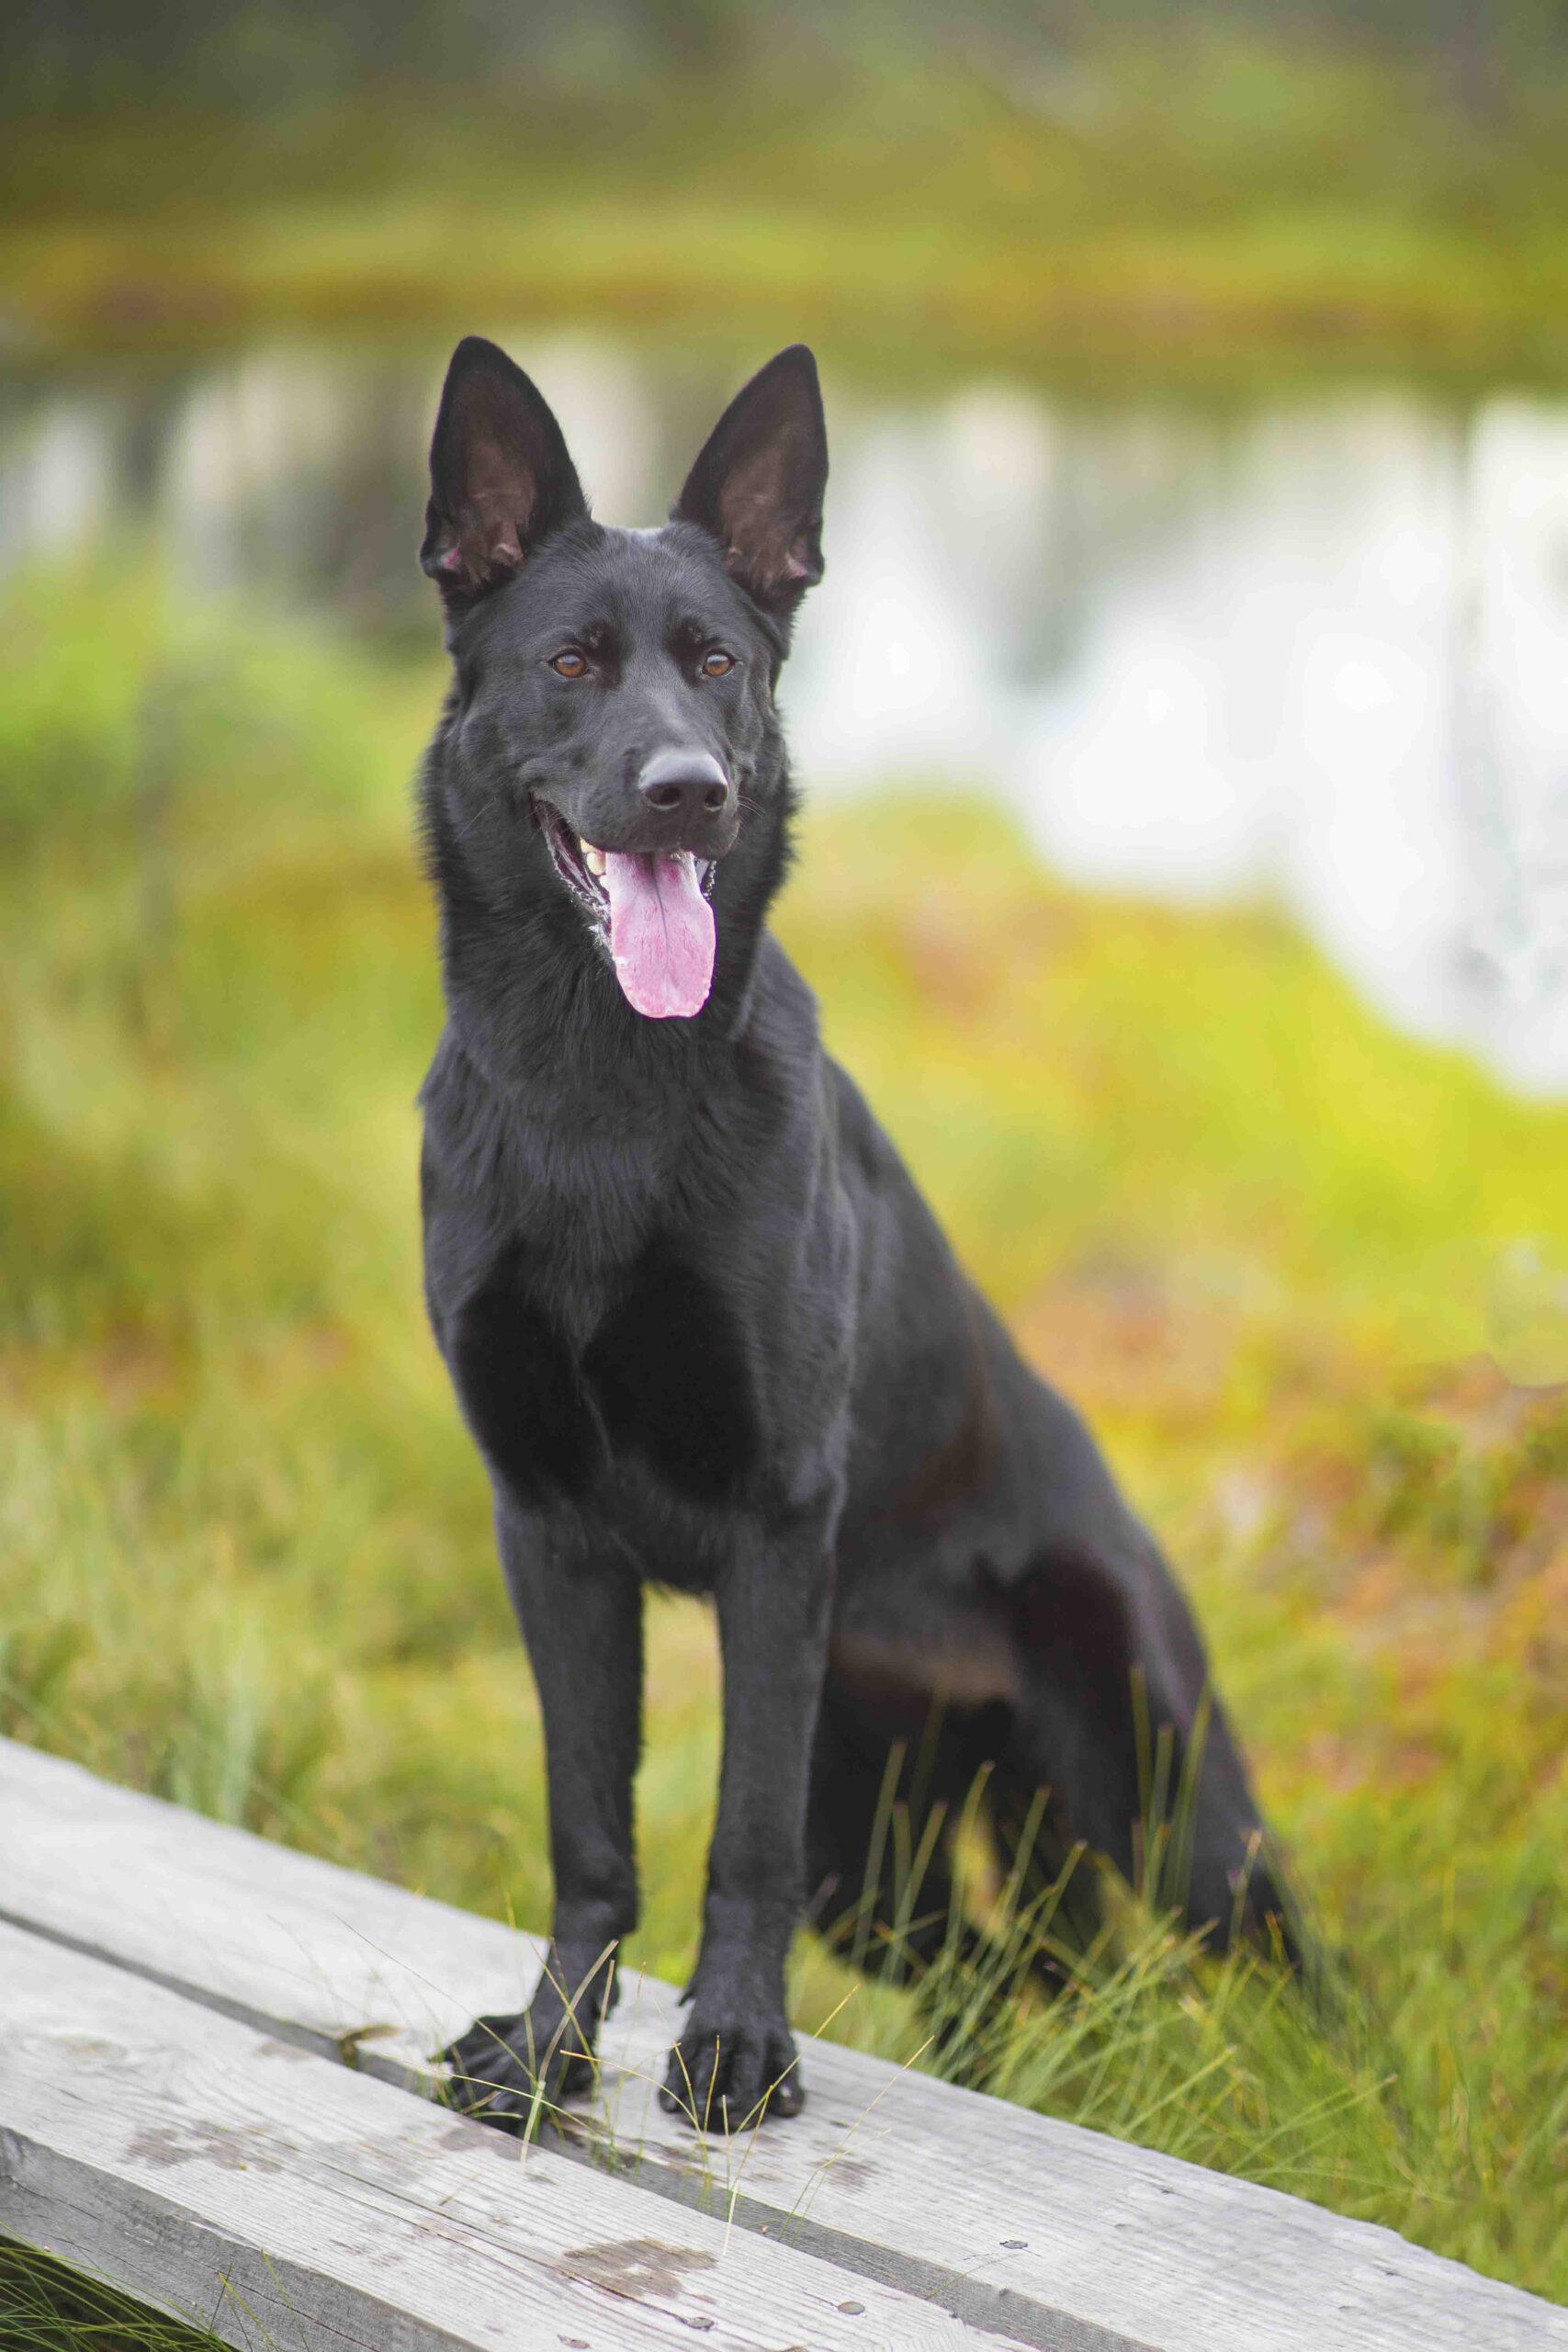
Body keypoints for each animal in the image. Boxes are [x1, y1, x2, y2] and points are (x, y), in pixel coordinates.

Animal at [415, 335, 1299, 2134]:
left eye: (716, 665)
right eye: (568, 661)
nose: (689, 791)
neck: (595, 1089)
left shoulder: (773, 1533)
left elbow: (732, 1839)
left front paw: (735, 2053)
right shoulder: (548, 1536)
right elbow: (589, 1830)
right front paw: (549, 2052)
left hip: (1169, 1806)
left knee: (1279, 1978)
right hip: (881, 1864)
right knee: (1000, 1971)